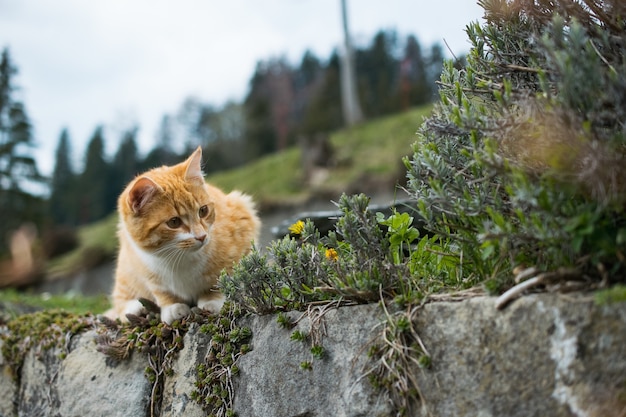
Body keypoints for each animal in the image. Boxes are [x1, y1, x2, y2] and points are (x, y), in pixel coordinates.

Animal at [107, 147, 258, 324]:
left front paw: (212, 299)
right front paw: (172, 306)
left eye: (203, 211)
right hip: (126, 269)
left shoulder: (242, 227)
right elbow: (161, 290)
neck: (178, 257)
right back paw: (136, 308)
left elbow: (222, 276)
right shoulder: (145, 267)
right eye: (174, 222)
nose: (202, 237)